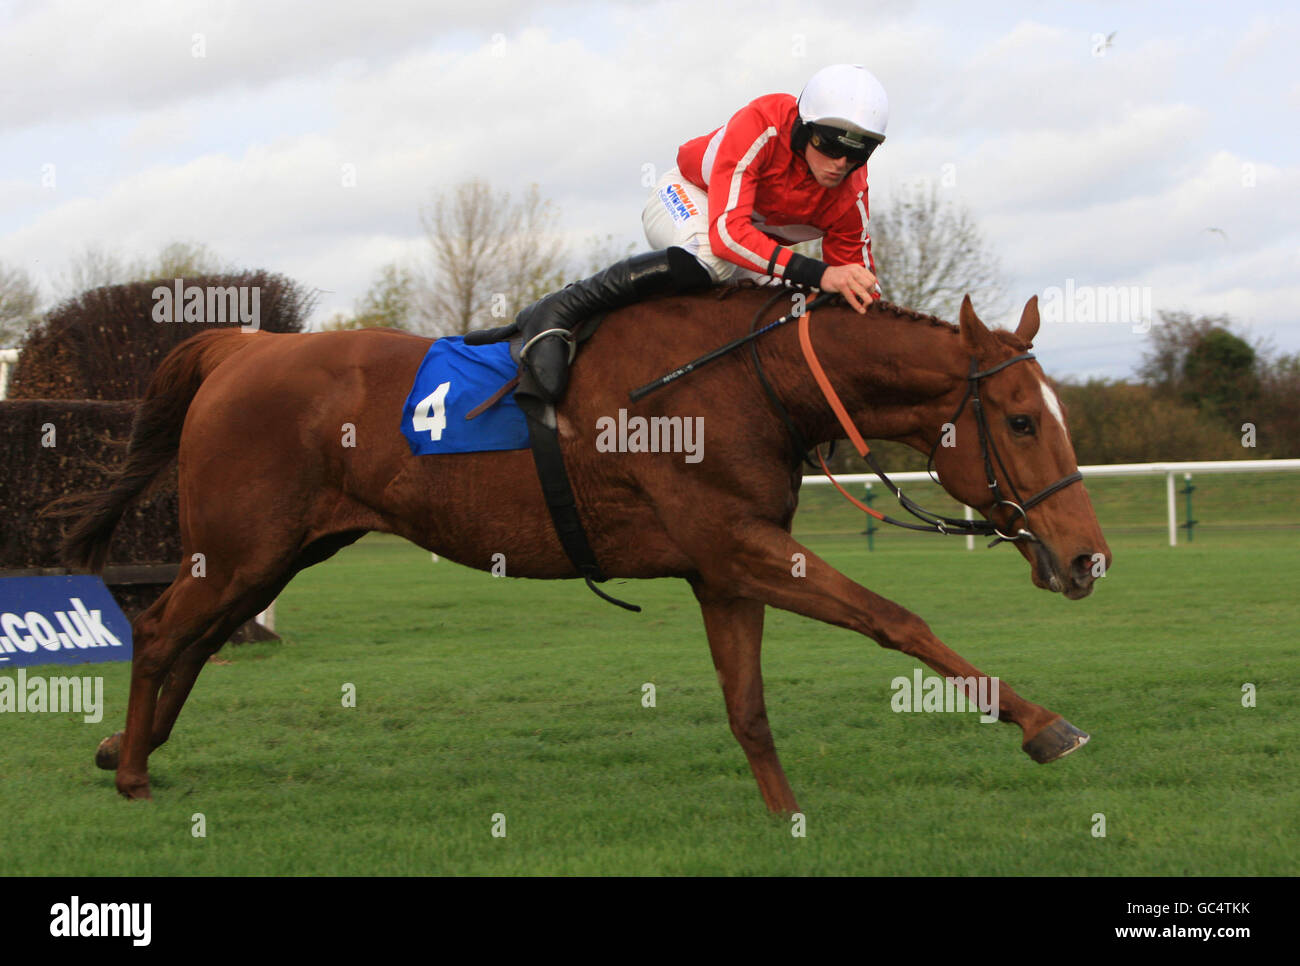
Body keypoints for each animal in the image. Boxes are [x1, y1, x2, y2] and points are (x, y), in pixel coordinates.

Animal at [53, 288, 1107, 816]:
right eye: (1020, 420)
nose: (1087, 559)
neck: (743, 380)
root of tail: (239, 347)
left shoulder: (724, 568)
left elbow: (749, 707)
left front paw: (781, 813)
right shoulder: (736, 545)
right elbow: (895, 618)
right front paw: (1045, 724)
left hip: (277, 554)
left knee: (193, 640)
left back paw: (119, 748)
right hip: (241, 549)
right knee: (162, 632)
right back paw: (135, 772)